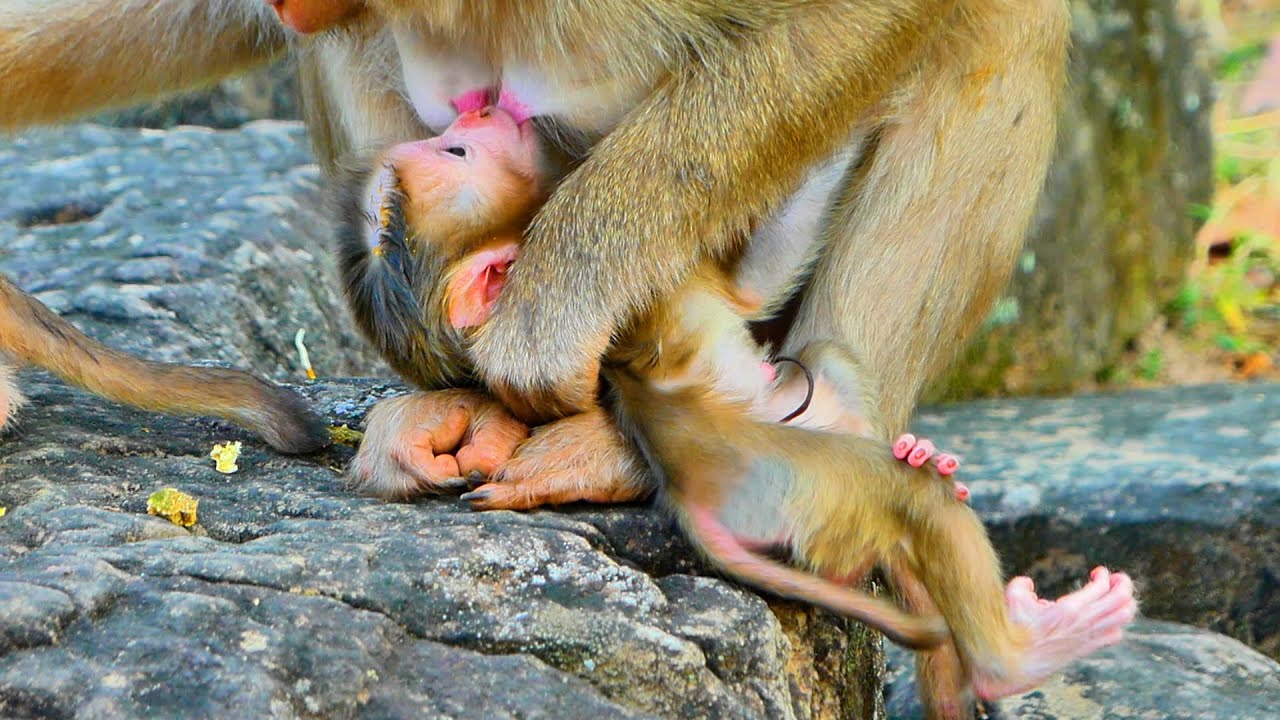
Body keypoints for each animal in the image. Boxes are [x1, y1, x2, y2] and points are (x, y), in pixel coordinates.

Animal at [329, 104, 1137, 715]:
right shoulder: (648, 282)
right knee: (906, 497)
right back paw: (1018, 653)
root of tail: (691, 493)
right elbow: (760, 273)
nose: (480, 110)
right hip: (807, 488)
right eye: (458, 149)